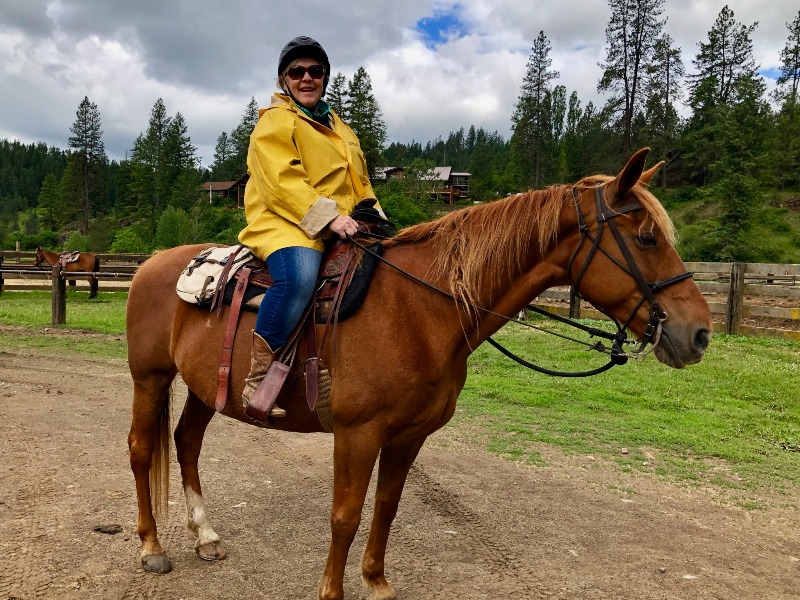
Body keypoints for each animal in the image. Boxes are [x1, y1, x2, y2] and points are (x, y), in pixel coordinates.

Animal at [126, 149, 712, 600]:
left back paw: (205, 536)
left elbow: (386, 507)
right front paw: (332, 591)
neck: (419, 310)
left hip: (205, 388)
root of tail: (153, 261)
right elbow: (345, 514)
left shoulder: (409, 436)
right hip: (150, 378)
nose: (700, 334)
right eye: (646, 239)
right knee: (141, 450)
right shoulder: (357, 434)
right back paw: (153, 548)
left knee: (186, 442)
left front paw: (377, 583)